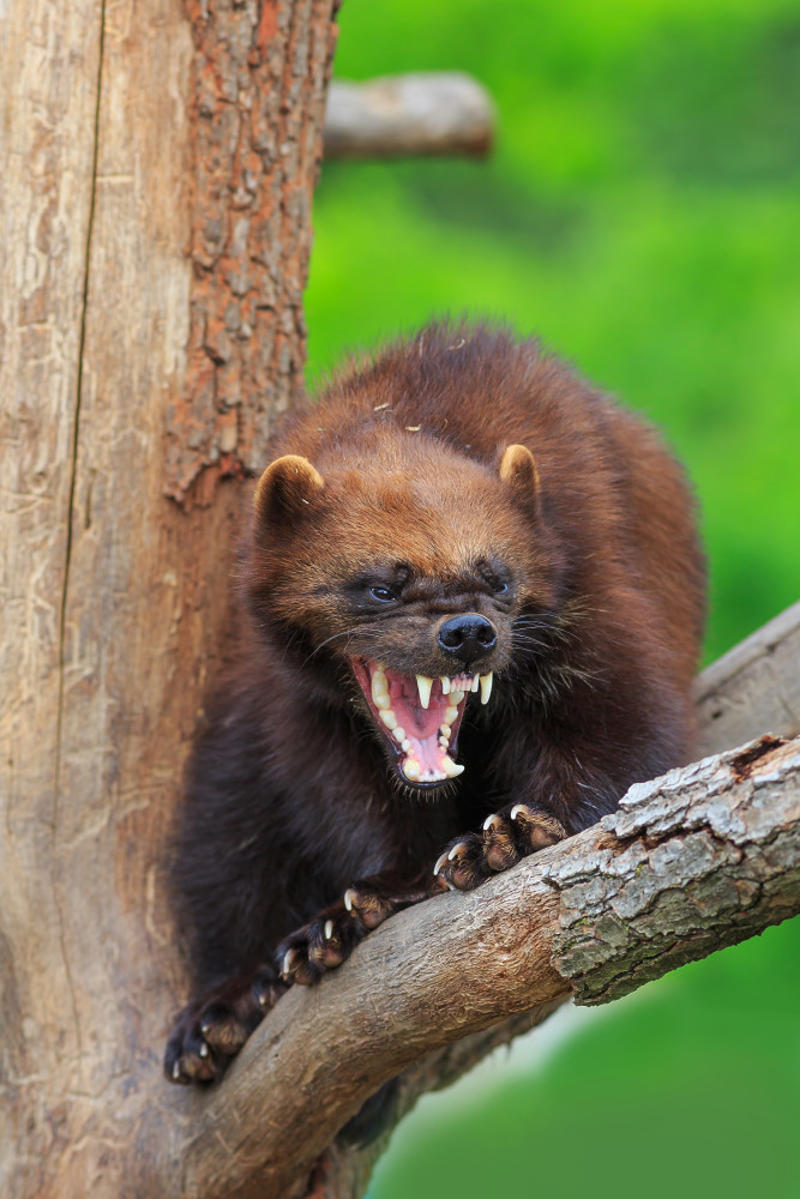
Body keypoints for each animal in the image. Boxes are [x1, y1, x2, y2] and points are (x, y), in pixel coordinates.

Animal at [164, 320, 706, 1085]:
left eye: (498, 576)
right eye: (380, 585)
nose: (469, 631)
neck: (420, 400)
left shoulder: (602, 614)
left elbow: (618, 742)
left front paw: (507, 838)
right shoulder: (299, 714)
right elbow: (349, 805)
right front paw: (344, 916)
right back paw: (219, 1015)